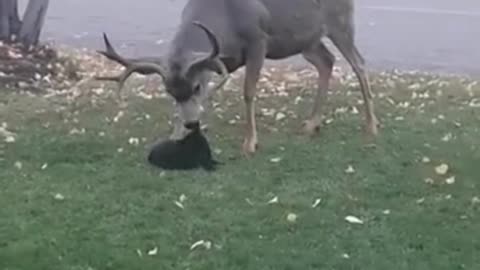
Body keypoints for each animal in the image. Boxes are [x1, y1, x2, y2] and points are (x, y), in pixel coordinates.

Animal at [94, 0, 378, 156]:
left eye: (196, 87)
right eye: (170, 91)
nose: (190, 125)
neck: (223, 18)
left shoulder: (258, 41)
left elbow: (248, 91)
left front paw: (250, 143)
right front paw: (176, 135)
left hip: (340, 23)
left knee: (359, 63)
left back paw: (372, 126)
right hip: (305, 39)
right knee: (326, 61)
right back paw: (312, 124)